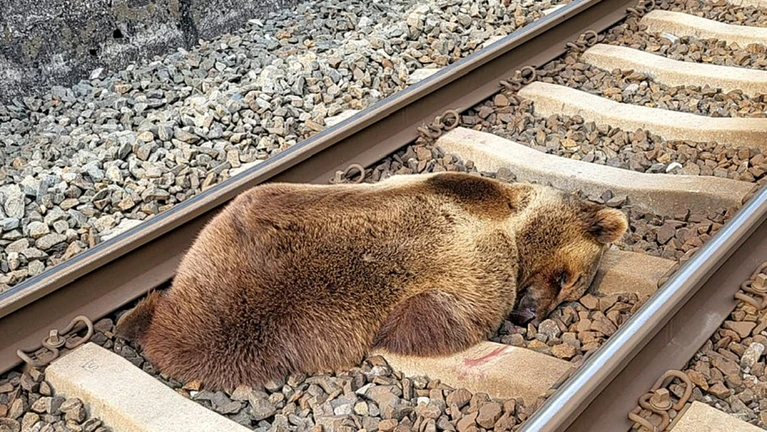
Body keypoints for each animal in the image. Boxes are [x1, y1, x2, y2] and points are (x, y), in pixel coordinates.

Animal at [115, 172, 627, 391]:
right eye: (566, 277)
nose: (528, 313)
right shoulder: (482, 253)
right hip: (240, 294)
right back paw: (137, 321)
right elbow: (455, 313)